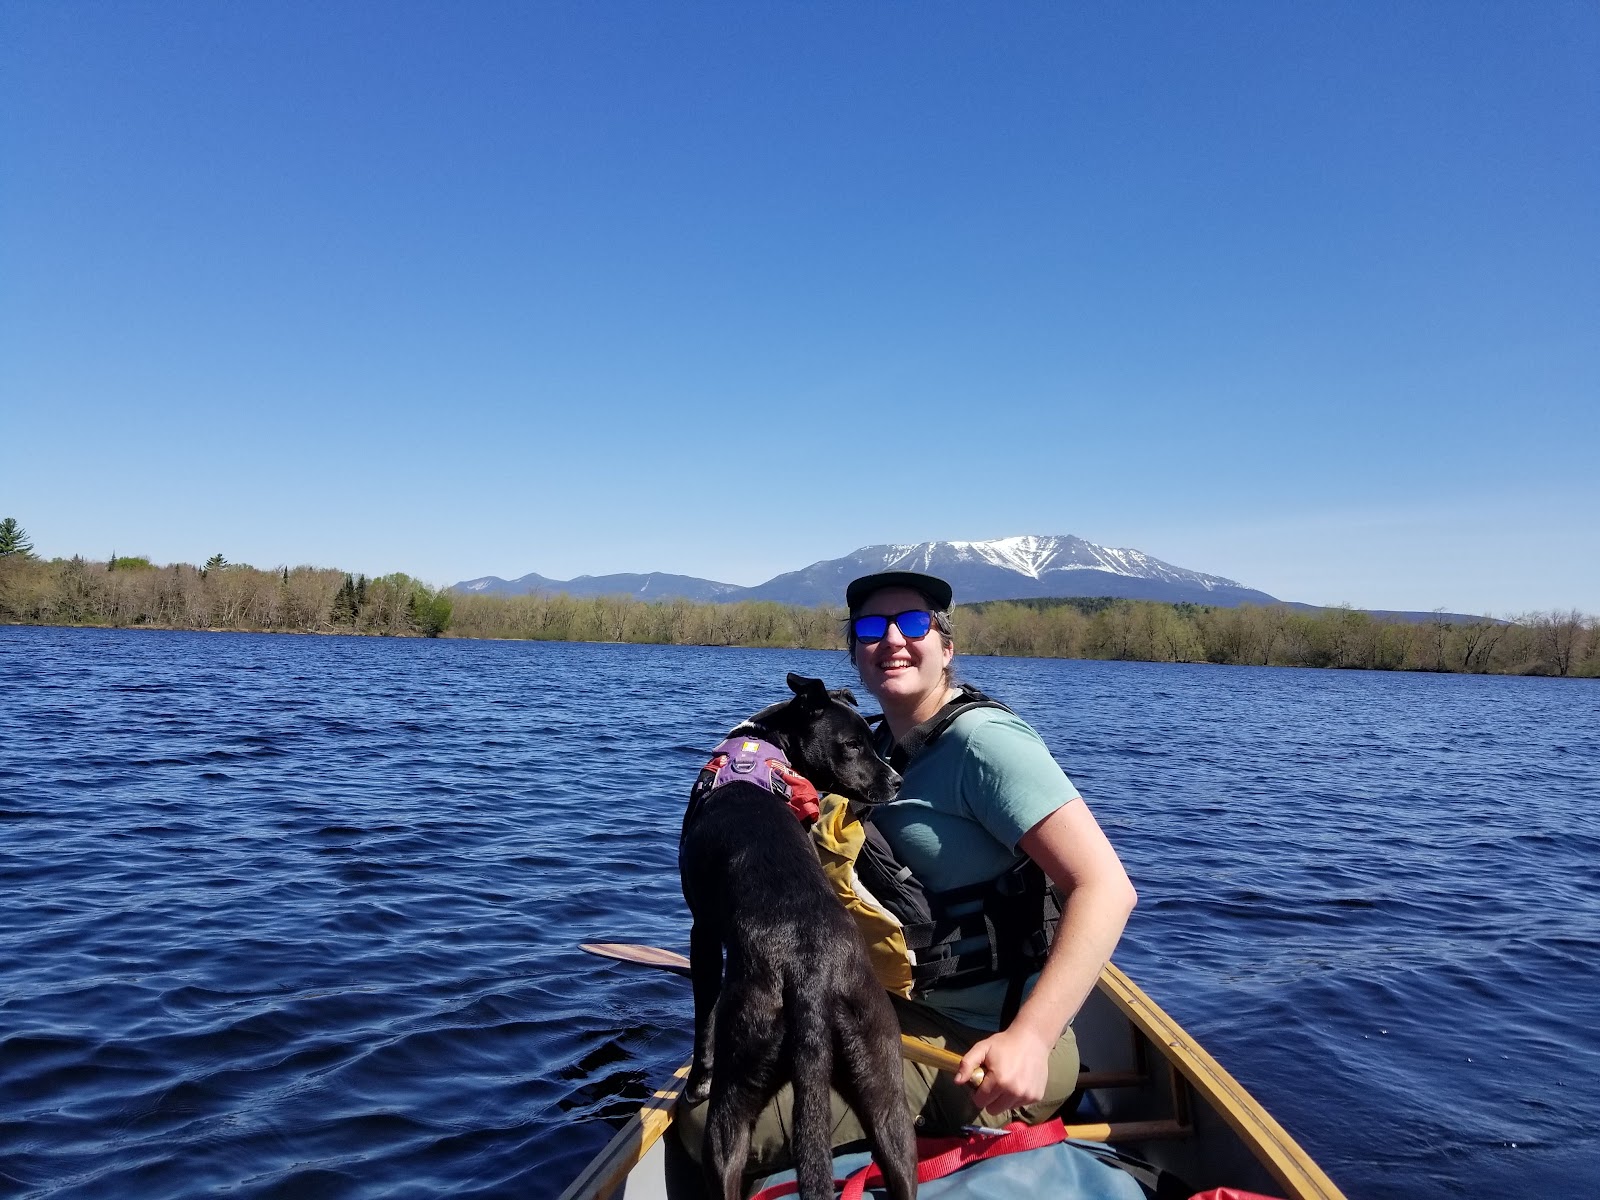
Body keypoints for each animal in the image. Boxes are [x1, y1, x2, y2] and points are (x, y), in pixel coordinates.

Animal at [678, 672, 917, 1200]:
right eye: (854, 744)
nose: (898, 781)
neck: (765, 748)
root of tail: (810, 978)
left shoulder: (702, 930)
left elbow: (702, 1015)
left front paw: (695, 1080)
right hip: (885, 1088)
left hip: (737, 1086)